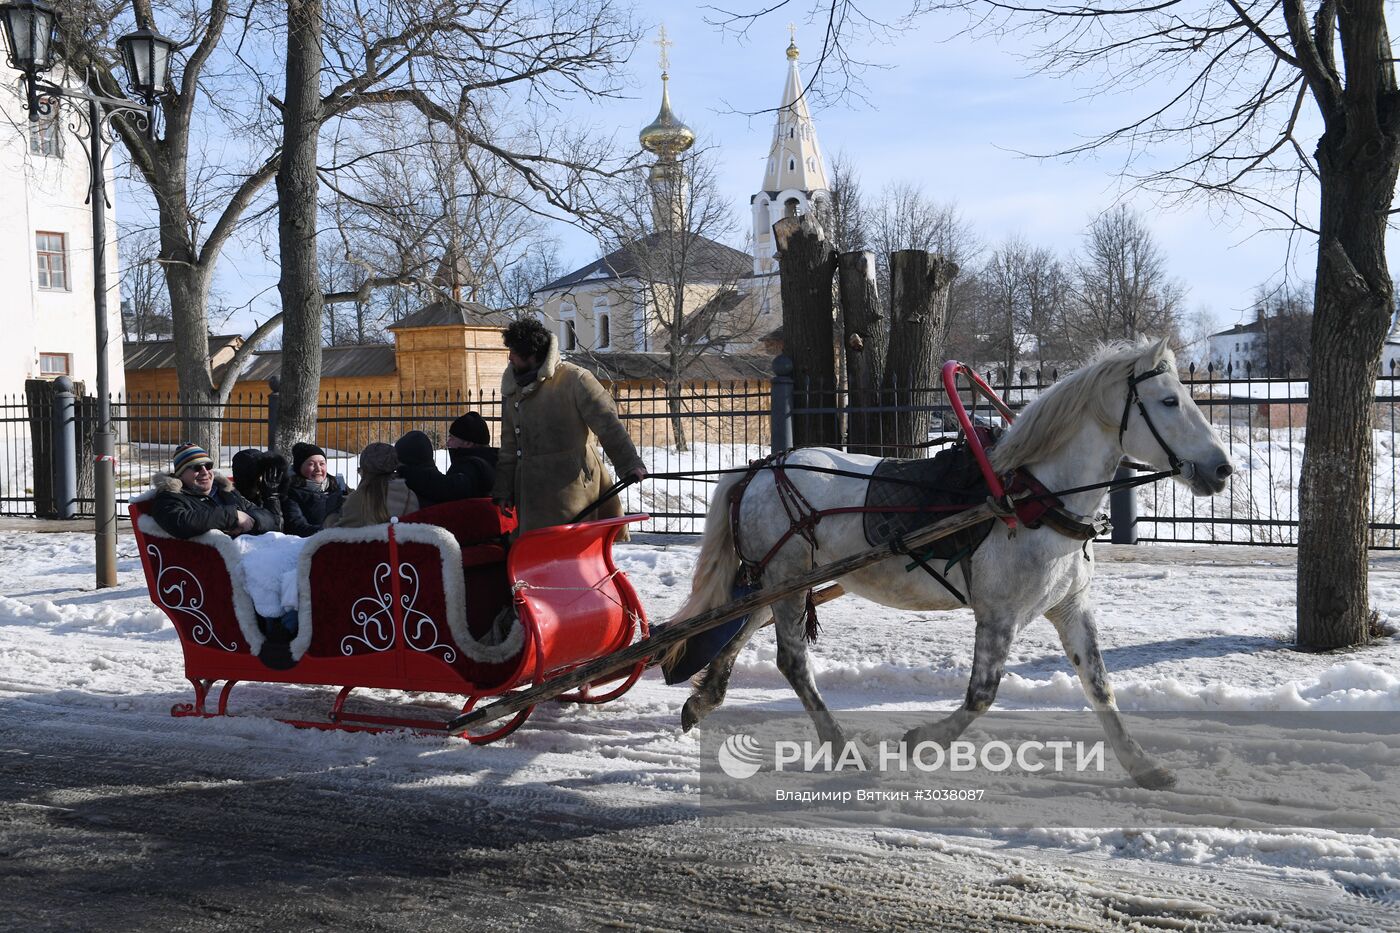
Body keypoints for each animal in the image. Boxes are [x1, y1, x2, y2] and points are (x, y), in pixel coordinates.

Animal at [672, 336, 1232, 784]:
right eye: (1169, 400)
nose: (1222, 468)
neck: (1032, 497)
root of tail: (761, 467)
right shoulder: (999, 614)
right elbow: (981, 695)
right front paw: (922, 739)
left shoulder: (1071, 608)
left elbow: (1100, 688)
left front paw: (1144, 766)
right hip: (787, 580)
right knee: (792, 660)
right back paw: (843, 747)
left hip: (781, 582)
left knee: (742, 625)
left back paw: (705, 698)